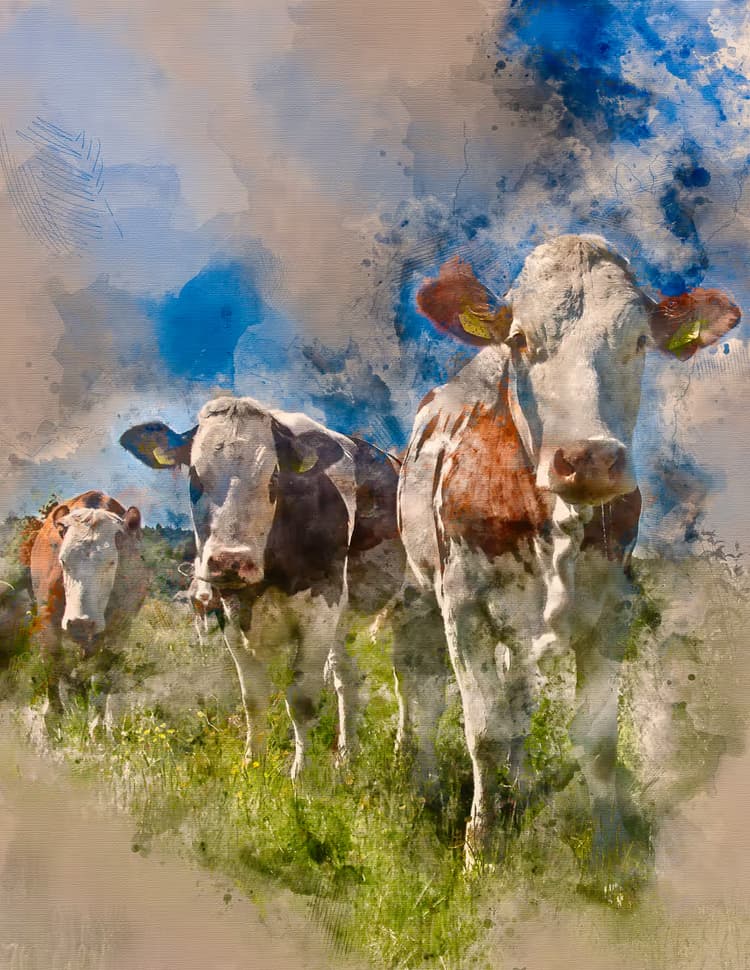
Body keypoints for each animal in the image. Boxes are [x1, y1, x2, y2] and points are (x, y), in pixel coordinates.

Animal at [120, 396, 404, 778]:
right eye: (195, 477)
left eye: (274, 477)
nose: (230, 561)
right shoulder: (228, 615)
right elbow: (252, 698)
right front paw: (252, 763)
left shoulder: (320, 609)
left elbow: (302, 698)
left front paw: (302, 775)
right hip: (344, 623)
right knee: (347, 678)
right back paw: (347, 755)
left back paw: (405, 748)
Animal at [397, 234, 741, 865]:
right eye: (519, 339)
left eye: (639, 341)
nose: (589, 457)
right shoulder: (463, 607)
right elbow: (482, 730)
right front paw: (480, 848)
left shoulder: (613, 610)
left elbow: (595, 740)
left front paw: (607, 853)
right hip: (417, 594)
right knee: (420, 688)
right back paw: (422, 782)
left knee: (518, 700)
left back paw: (519, 788)